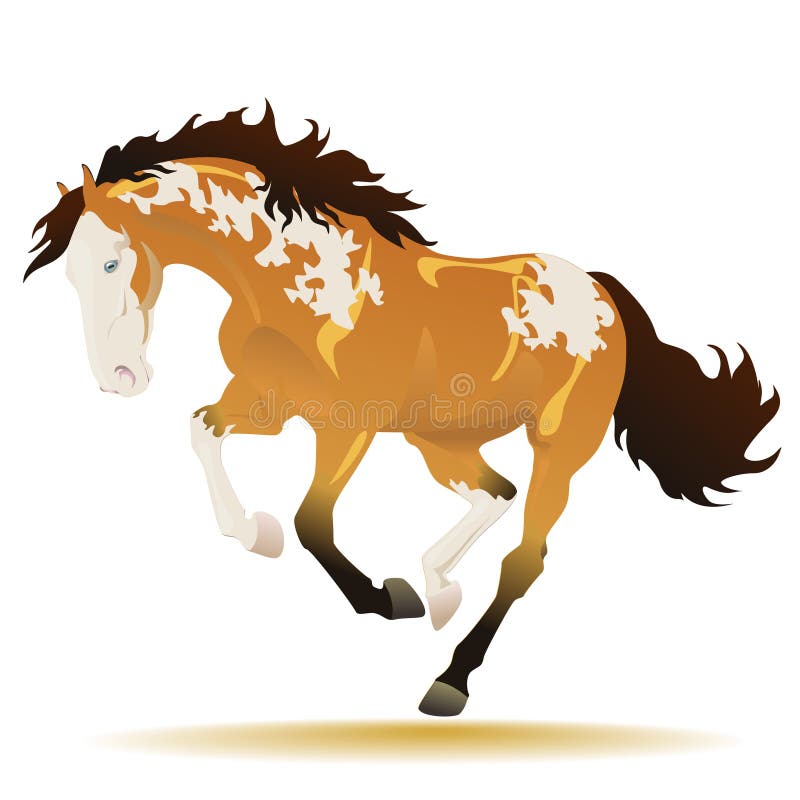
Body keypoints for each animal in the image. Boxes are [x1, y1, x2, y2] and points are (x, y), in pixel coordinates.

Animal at [25, 103, 780, 717]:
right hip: (436, 439)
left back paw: (449, 678)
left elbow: (312, 522)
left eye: (113, 265)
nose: (119, 379)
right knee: (495, 493)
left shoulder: (347, 426)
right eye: (69, 275)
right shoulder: (268, 403)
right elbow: (203, 432)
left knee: (524, 554)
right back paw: (437, 587)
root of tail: (601, 292)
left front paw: (382, 600)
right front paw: (256, 534)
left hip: (560, 445)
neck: (298, 283)